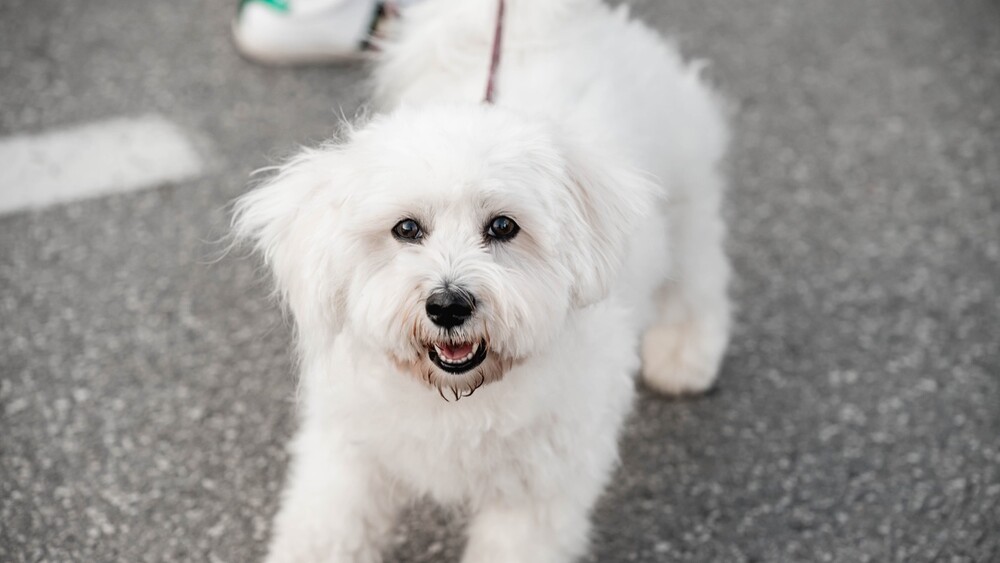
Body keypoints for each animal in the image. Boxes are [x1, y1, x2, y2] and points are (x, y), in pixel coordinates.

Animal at [238, 1, 732, 563]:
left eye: (502, 226)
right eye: (406, 228)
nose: (448, 305)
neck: (456, 398)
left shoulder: (537, 493)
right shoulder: (349, 454)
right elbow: (324, 529)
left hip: (687, 200)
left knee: (698, 276)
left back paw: (685, 355)